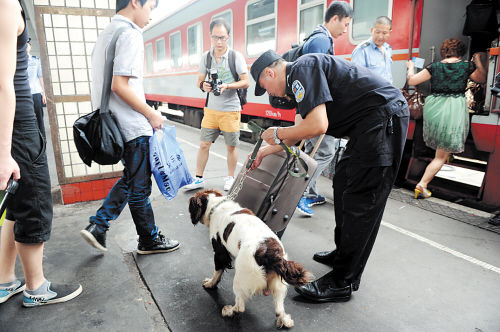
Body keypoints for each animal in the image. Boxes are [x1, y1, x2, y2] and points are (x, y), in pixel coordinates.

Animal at [188, 188, 312, 328]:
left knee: (240, 306)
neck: (216, 205)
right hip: (278, 283)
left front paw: (210, 283)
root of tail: (270, 253)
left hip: (241, 277)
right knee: (279, 310)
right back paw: (285, 321)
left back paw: (228, 311)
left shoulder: (220, 251)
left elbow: (217, 271)